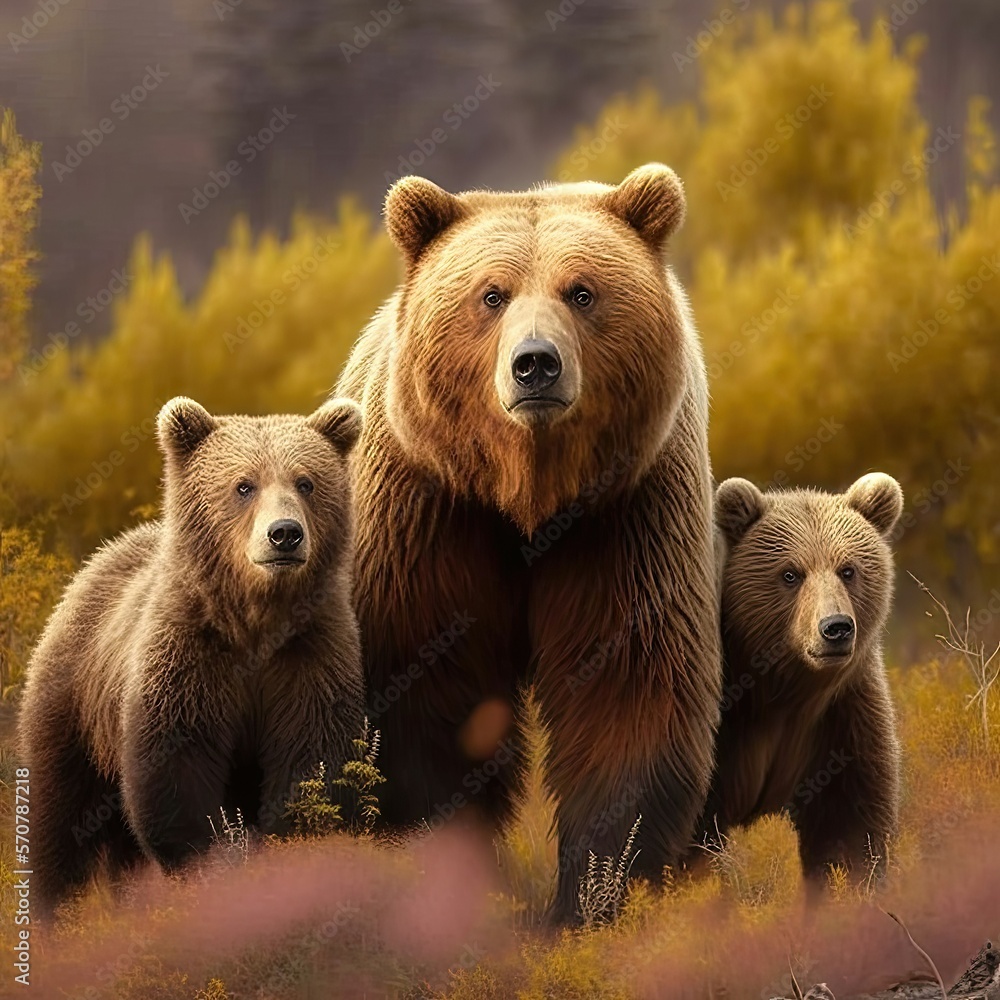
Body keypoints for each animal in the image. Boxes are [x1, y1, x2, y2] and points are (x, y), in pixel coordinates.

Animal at [18, 396, 365, 913]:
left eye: (306, 481)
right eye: (244, 485)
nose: (284, 534)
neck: (255, 623)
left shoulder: (309, 657)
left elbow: (312, 762)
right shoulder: (189, 659)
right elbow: (176, 768)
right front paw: (210, 864)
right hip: (73, 706)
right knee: (61, 816)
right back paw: (59, 912)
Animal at [337, 163, 722, 921]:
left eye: (583, 291)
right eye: (492, 294)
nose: (535, 364)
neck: (529, 496)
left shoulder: (626, 517)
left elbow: (626, 693)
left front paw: (593, 894)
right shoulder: (431, 513)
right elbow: (428, 696)